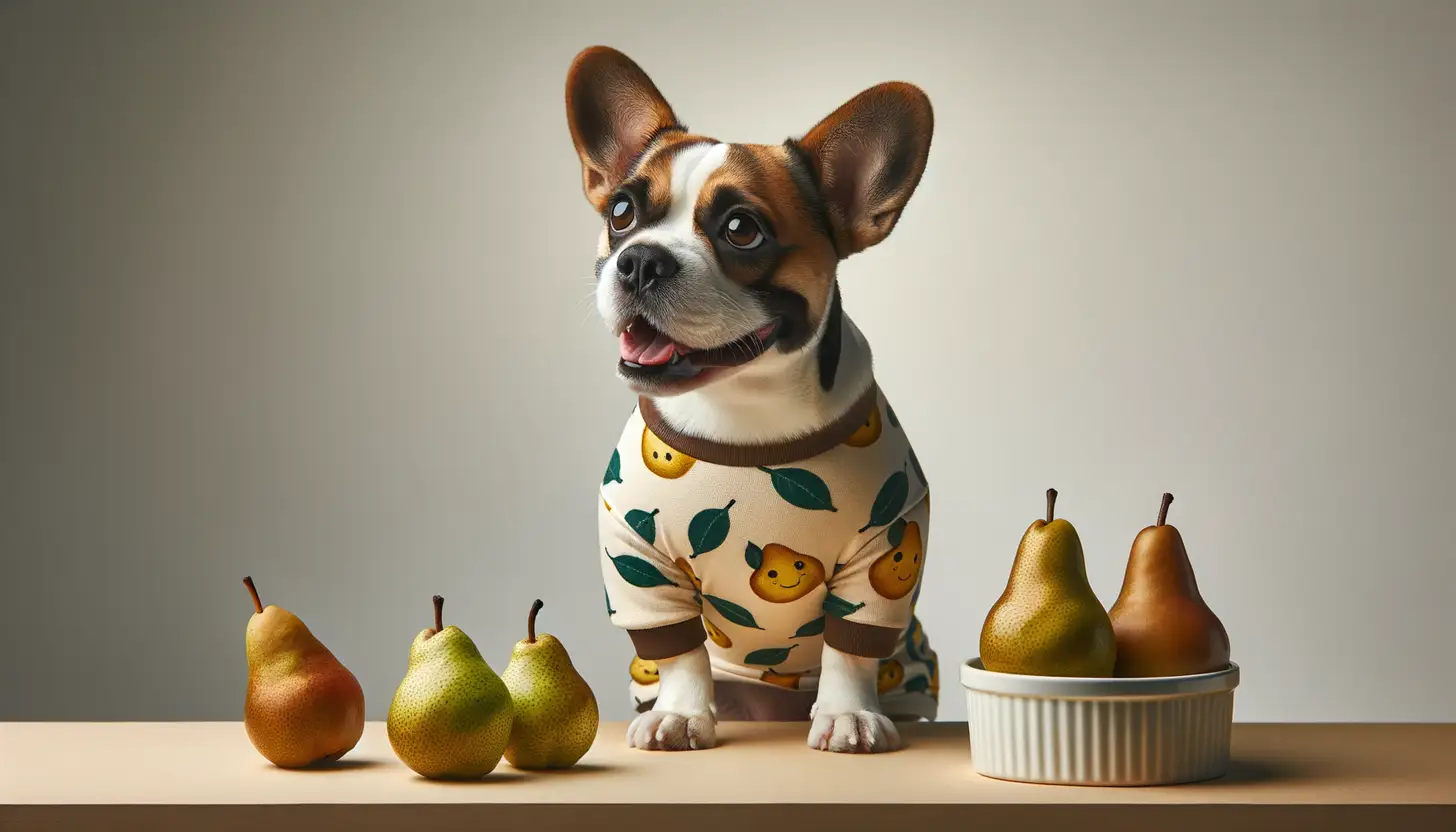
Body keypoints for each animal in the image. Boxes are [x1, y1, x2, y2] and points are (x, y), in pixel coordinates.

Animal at [567, 43, 931, 757]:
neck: (742, 406)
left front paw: (847, 714)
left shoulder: (887, 547)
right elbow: (681, 651)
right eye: (621, 214)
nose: (640, 260)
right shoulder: (639, 562)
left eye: (741, 229)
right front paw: (682, 714)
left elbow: (851, 648)